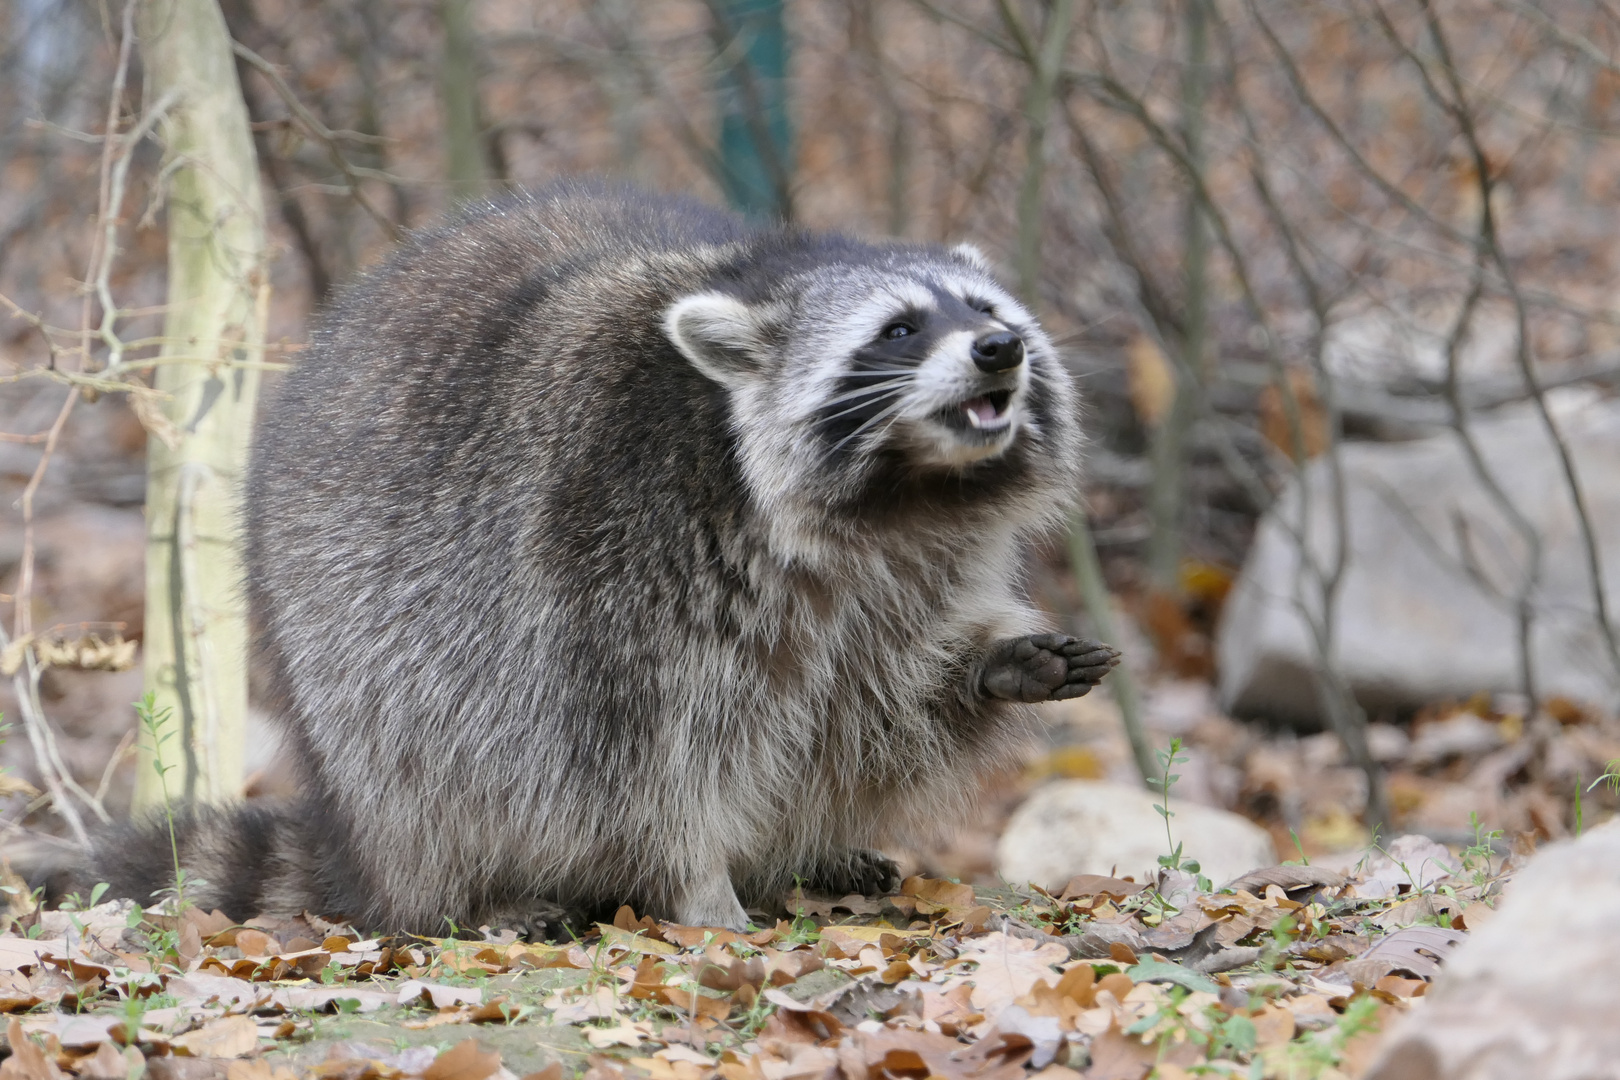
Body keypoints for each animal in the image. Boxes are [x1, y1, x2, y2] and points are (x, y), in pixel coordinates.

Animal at [91, 181, 1114, 932]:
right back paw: (471, 894)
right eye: (900, 329)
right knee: (430, 756)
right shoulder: (613, 553)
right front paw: (698, 882)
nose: (1001, 347)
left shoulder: (920, 564)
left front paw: (991, 658)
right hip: (353, 651)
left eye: (980, 307)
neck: (899, 493)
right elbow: (643, 755)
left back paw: (804, 856)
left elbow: (891, 691)